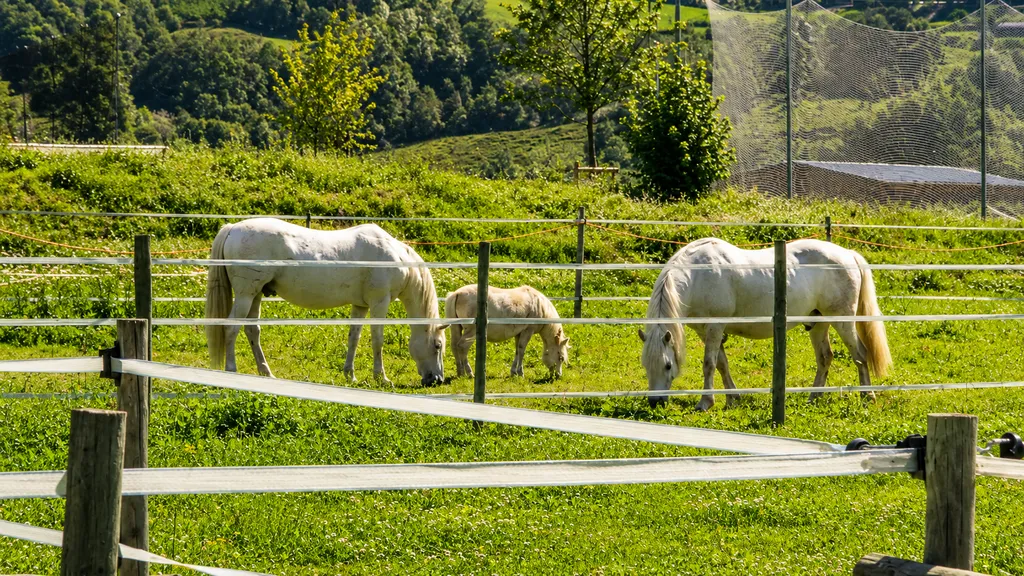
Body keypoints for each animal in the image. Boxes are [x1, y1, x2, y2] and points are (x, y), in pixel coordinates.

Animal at [204, 218, 448, 385]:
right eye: (437, 345)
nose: (436, 379)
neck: (396, 257)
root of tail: (233, 228)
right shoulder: (380, 302)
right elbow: (377, 339)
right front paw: (381, 377)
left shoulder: (361, 305)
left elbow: (354, 338)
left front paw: (350, 375)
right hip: (246, 295)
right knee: (231, 328)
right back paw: (231, 369)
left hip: (255, 295)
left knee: (252, 330)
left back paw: (266, 372)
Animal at [638, 238, 891, 411]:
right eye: (645, 366)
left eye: (668, 365)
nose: (655, 402)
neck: (698, 275)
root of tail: (848, 254)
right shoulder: (706, 331)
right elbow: (722, 363)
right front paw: (732, 398)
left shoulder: (715, 326)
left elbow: (709, 364)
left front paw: (705, 402)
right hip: (818, 323)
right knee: (825, 358)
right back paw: (813, 397)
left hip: (843, 321)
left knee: (860, 355)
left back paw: (868, 396)